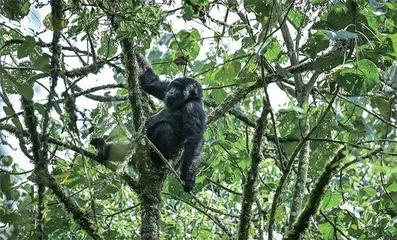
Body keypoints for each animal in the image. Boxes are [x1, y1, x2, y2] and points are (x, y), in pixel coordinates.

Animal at [91, 53, 206, 192]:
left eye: (178, 88)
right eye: (172, 86)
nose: (171, 91)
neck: (185, 101)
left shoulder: (193, 107)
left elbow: (195, 139)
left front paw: (189, 178)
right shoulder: (164, 88)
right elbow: (151, 83)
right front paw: (131, 54)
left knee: (164, 128)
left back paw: (156, 158)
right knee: (126, 148)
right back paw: (103, 149)